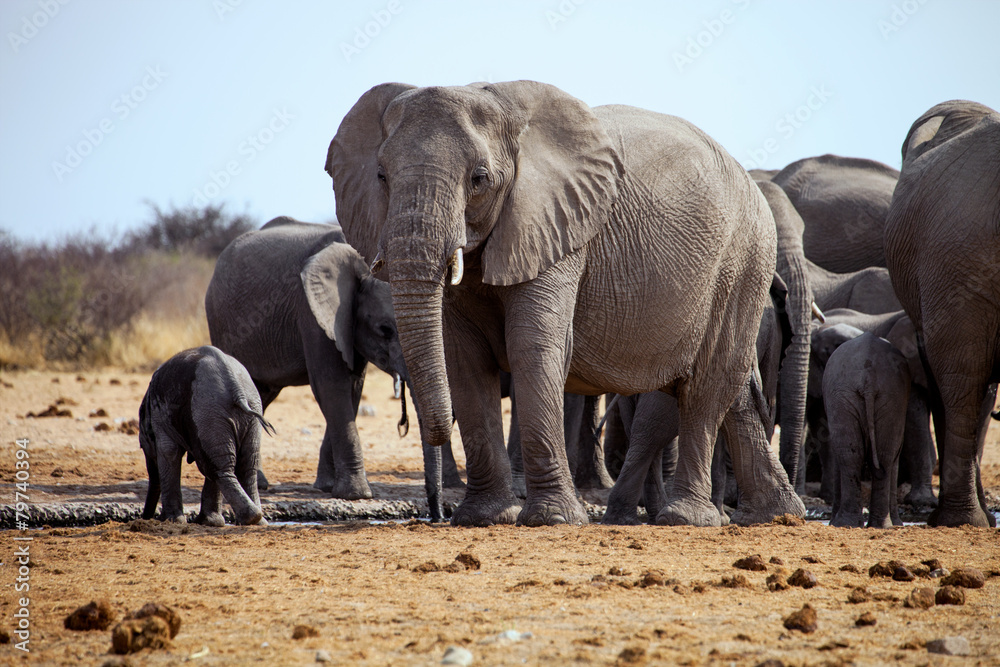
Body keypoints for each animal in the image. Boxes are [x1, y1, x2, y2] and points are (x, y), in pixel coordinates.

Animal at [139, 346, 270, 526]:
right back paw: (257, 520)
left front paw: (171, 521)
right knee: (244, 465)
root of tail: (237, 389)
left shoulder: (161, 418)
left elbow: (169, 452)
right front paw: (207, 522)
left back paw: (250, 518)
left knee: (214, 467)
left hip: (206, 413)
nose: (146, 517)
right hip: (246, 412)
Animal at [205, 217, 460, 513]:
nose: (437, 514)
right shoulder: (312, 311)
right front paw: (357, 495)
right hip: (221, 323)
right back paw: (259, 484)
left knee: (261, 396)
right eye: (385, 330)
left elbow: (353, 388)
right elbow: (331, 385)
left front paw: (328, 487)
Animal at [327, 81, 804, 527]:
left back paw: (687, 518)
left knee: (705, 384)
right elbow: (464, 356)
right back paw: (776, 514)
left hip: (743, 260)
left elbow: (531, 345)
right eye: (381, 177)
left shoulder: (559, 228)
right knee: (732, 387)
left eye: (479, 179)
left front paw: (551, 519)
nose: (419, 428)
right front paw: (485, 517)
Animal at [817, 331, 910, 528]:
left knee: (864, 455)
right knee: (875, 455)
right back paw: (858, 524)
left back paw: (858, 524)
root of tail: (869, 379)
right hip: (858, 395)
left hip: (870, 395)